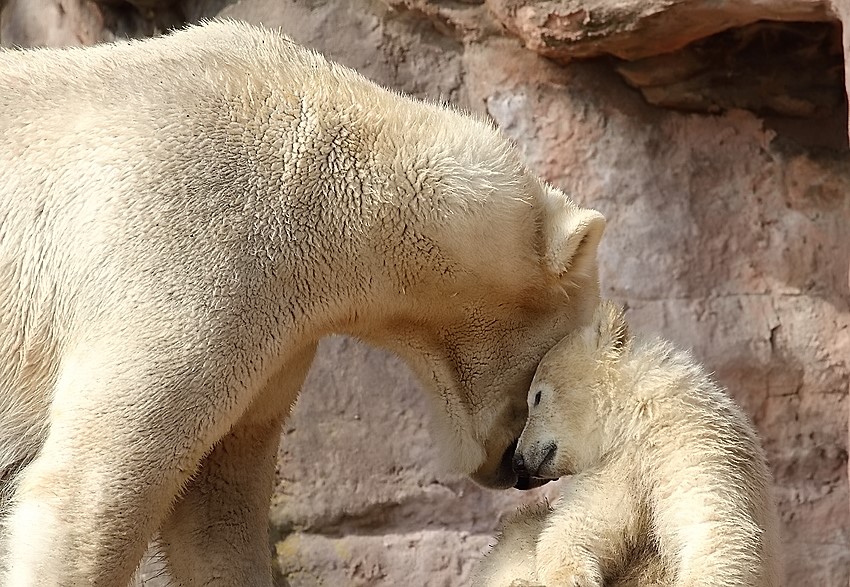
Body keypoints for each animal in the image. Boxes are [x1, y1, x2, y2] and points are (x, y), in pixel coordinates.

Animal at [0, 18, 604, 587]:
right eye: (542, 384)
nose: (521, 469)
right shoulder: (186, 243)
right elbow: (95, 486)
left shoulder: (271, 332)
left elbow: (219, 499)